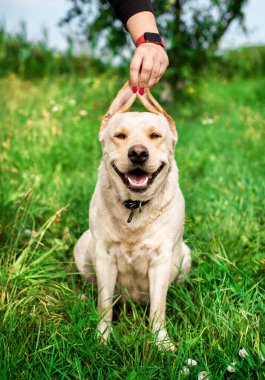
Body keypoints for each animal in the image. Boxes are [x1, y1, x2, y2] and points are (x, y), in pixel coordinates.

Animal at [74, 82, 190, 350]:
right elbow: (104, 304)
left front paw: (161, 343)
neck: (134, 206)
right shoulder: (104, 256)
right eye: (120, 136)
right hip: (82, 248)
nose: (138, 153)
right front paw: (102, 338)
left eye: (155, 136)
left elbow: (158, 308)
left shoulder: (161, 259)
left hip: (185, 258)